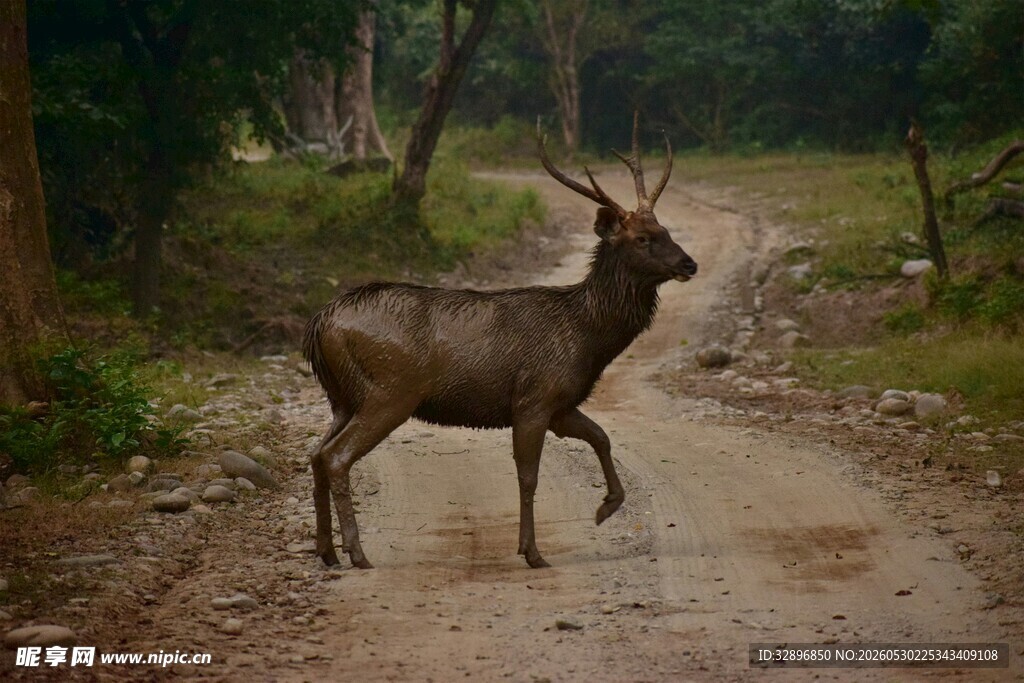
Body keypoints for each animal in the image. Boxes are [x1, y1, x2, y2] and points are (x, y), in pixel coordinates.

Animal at [303, 112, 697, 570]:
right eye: (642, 239)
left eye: (664, 228)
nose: (689, 263)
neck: (587, 338)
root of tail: (321, 323)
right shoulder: (533, 398)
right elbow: (528, 476)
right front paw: (532, 551)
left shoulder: (561, 404)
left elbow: (601, 435)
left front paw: (607, 506)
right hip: (389, 391)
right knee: (336, 457)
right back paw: (357, 552)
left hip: (343, 397)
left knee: (316, 455)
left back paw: (327, 551)